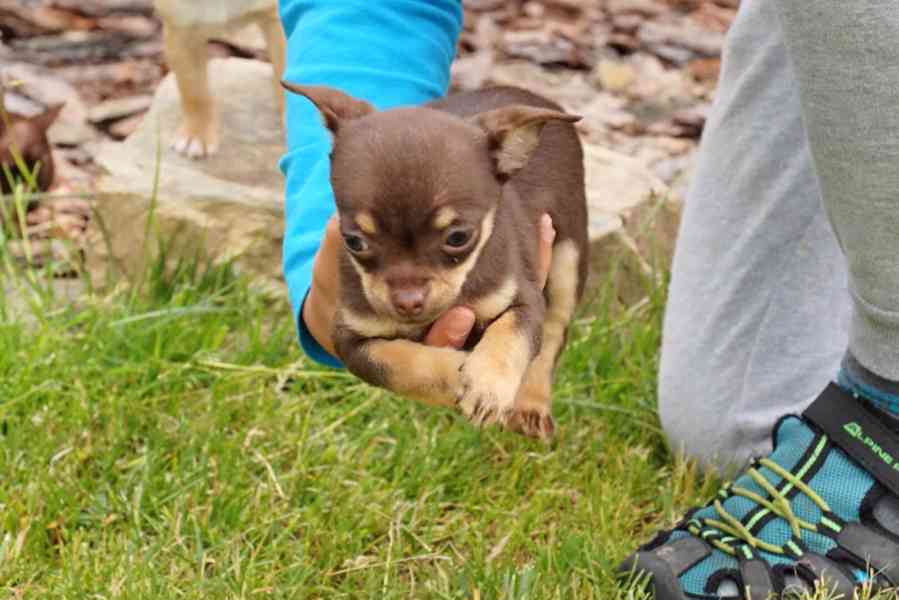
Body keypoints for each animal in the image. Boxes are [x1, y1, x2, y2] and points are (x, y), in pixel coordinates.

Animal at [284, 83, 588, 440]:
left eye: (458, 237)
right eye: (354, 241)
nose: (407, 301)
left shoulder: (524, 299)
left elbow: (510, 336)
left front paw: (486, 385)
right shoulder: (351, 341)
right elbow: (402, 364)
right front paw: (458, 373)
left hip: (569, 256)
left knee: (554, 332)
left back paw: (531, 404)